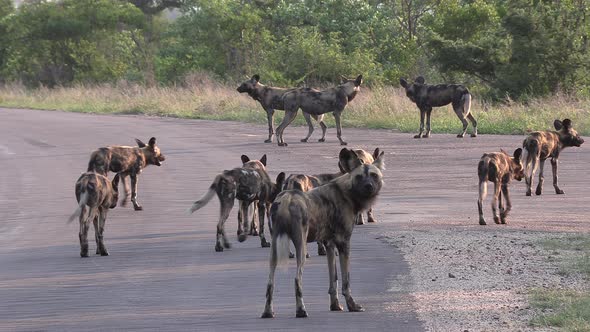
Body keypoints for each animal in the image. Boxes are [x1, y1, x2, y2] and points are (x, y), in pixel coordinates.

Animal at [262, 148, 386, 320]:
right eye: (359, 177)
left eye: (374, 175)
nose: (368, 186)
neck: (346, 193)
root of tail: (286, 198)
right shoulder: (344, 244)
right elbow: (346, 281)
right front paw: (352, 305)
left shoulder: (329, 245)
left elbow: (333, 279)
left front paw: (335, 306)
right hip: (301, 248)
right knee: (297, 279)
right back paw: (301, 311)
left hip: (274, 250)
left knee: (270, 282)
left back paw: (268, 312)